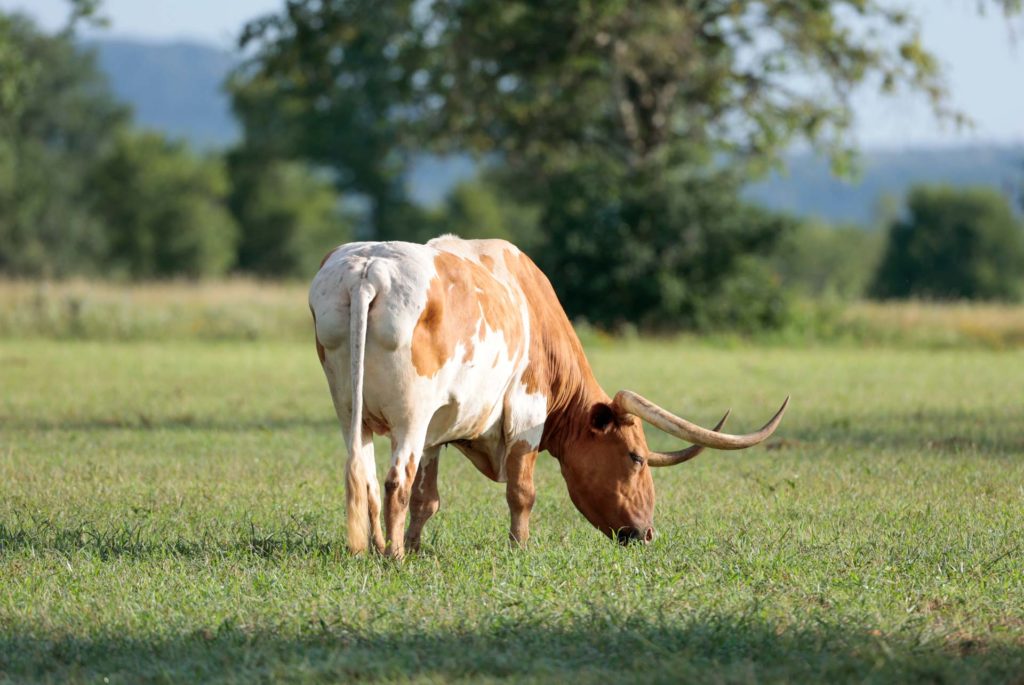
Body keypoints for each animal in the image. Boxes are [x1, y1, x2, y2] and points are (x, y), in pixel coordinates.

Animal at [307, 235, 786, 557]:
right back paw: (393, 557)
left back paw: (370, 547)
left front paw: (417, 545)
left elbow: (428, 498)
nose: (647, 534)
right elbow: (522, 491)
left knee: (364, 475)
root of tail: (368, 272)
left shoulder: (437, 431)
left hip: (352, 411)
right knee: (394, 481)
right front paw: (519, 548)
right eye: (635, 457)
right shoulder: (523, 415)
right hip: (411, 413)